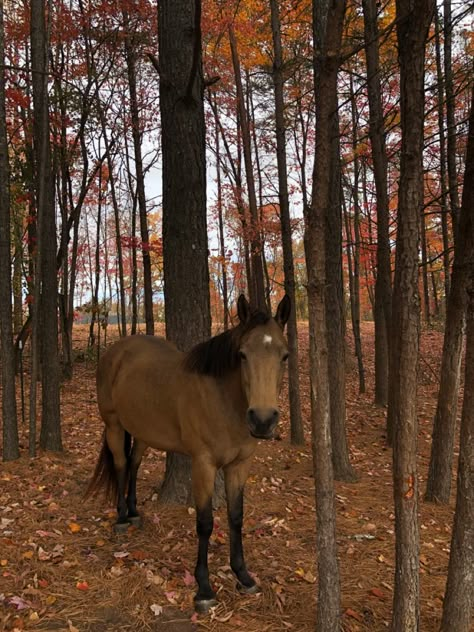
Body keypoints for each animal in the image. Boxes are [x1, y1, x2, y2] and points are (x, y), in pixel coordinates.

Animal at [87, 296, 290, 612]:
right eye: (242, 355)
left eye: (285, 356)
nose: (262, 420)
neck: (223, 400)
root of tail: (115, 351)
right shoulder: (203, 464)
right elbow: (205, 523)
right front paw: (204, 588)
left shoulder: (239, 465)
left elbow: (236, 517)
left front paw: (243, 576)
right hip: (114, 425)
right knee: (121, 465)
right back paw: (121, 518)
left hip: (143, 431)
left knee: (134, 464)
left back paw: (134, 513)